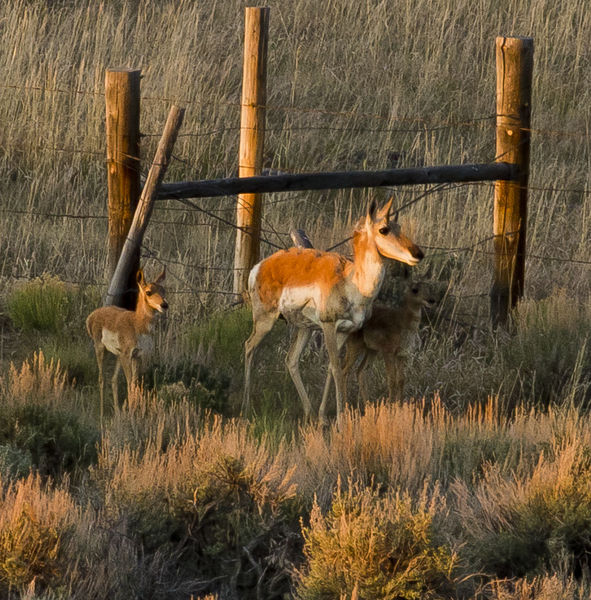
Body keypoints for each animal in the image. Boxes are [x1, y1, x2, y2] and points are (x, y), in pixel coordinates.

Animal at [84, 270, 166, 420]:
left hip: (118, 356)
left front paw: (130, 412)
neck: (137, 324)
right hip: (101, 349)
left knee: (113, 380)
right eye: (148, 292)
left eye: (163, 290)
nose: (164, 305)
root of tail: (92, 315)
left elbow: (134, 383)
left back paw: (117, 412)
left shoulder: (138, 356)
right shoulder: (128, 355)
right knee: (101, 378)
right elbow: (129, 384)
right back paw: (102, 414)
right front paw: (131, 415)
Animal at [243, 199, 424, 424]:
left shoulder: (344, 332)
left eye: (398, 226)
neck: (351, 282)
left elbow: (331, 368)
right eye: (384, 229)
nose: (418, 254)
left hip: (305, 328)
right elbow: (337, 368)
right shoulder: (329, 326)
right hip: (265, 320)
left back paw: (310, 413)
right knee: (249, 347)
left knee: (291, 360)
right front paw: (341, 419)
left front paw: (324, 417)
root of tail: (260, 266)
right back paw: (245, 408)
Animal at [324, 278, 444, 406]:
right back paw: (346, 405)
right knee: (344, 371)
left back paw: (368, 404)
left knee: (360, 371)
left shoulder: (402, 353)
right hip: (355, 346)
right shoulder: (388, 351)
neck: (403, 323)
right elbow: (391, 379)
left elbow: (401, 380)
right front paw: (391, 405)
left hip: (371, 350)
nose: (431, 300)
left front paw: (400, 405)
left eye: (430, 288)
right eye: (414, 290)